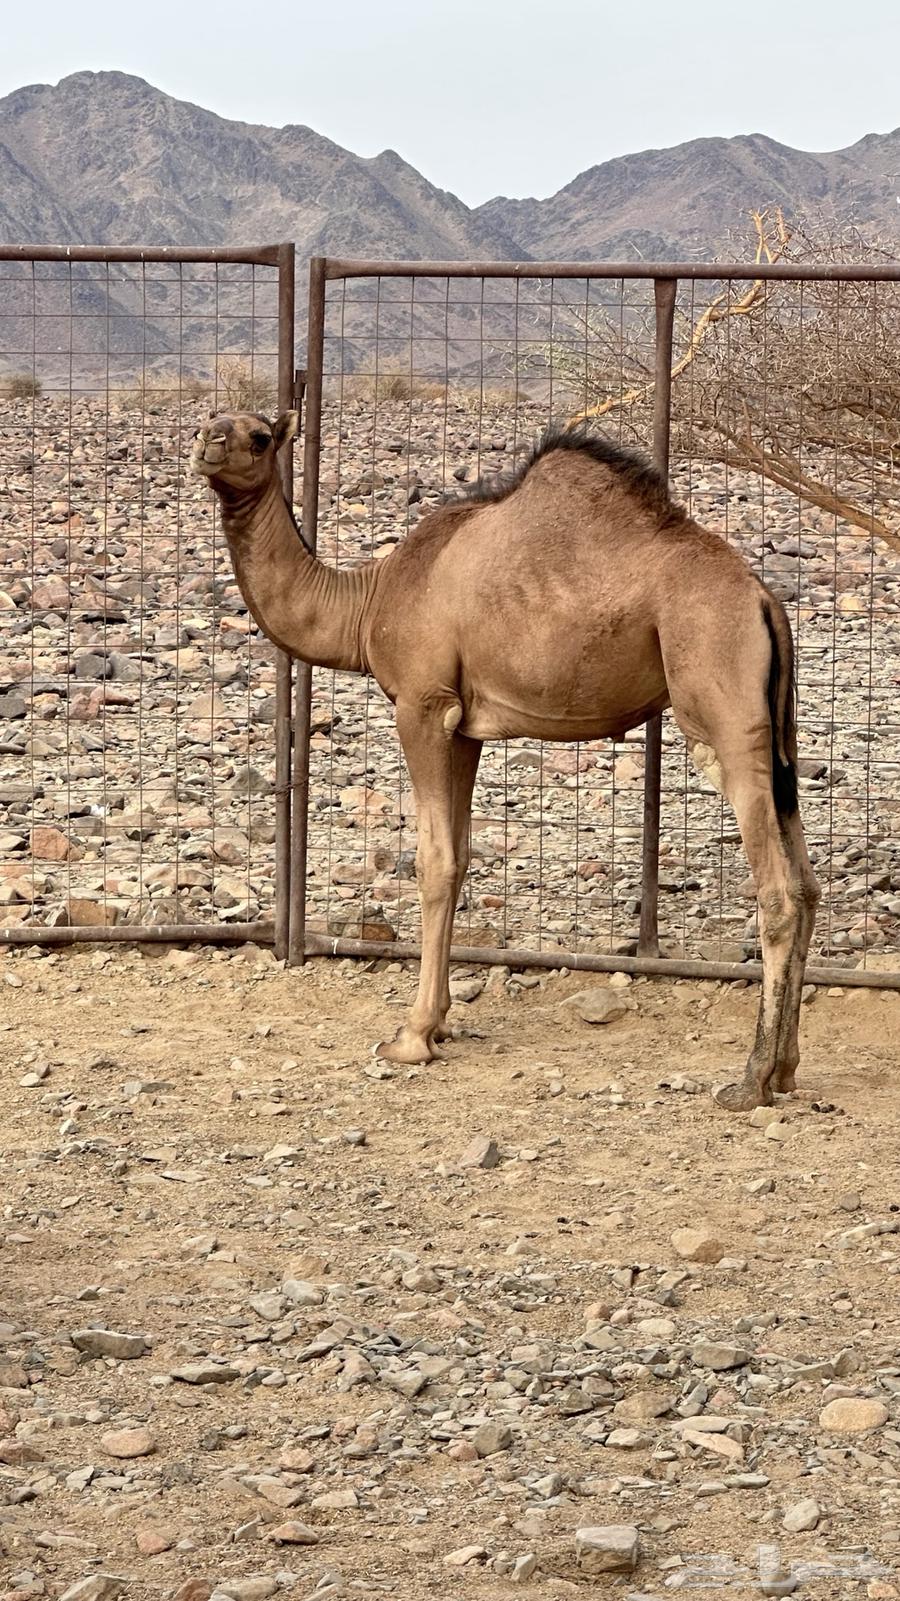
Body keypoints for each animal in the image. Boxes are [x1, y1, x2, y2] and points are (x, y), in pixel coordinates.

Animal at [192, 409, 819, 1111]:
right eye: (210, 420)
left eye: (259, 437)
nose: (207, 444)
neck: (369, 599)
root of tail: (764, 600)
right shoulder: (465, 727)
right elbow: (461, 857)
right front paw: (438, 1021)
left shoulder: (423, 704)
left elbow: (434, 862)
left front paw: (412, 1036)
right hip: (777, 737)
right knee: (806, 882)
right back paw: (786, 1070)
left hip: (722, 704)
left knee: (776, 889)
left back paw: (749, 1081)